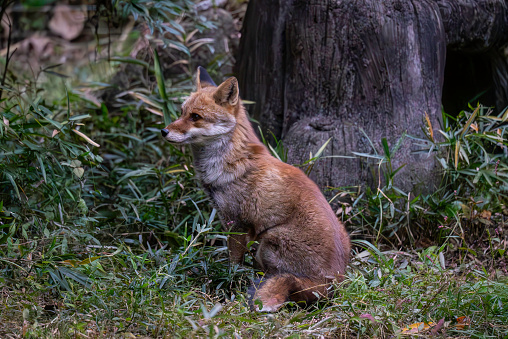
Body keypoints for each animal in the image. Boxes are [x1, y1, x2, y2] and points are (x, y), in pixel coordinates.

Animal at [161, 67, 352, 314]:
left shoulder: (236, 223)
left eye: (195, 117)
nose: (163, 131)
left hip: (269, 240)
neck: (231, 161)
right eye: (182, 112)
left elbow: (233, 263)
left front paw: (229, 284)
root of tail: (328, 283)